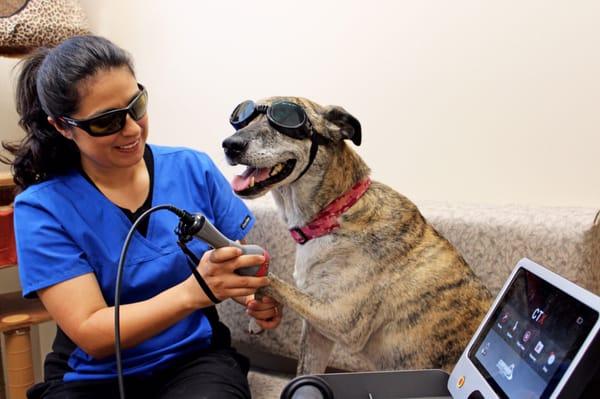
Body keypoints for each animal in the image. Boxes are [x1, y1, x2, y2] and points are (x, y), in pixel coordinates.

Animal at [221, 97, 492, 376]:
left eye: (284, 118)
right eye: (243, 119)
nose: (229, 145)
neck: (336, 213)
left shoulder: (339, 318)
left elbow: (272, 280)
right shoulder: (317, 332)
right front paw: (258, 315)